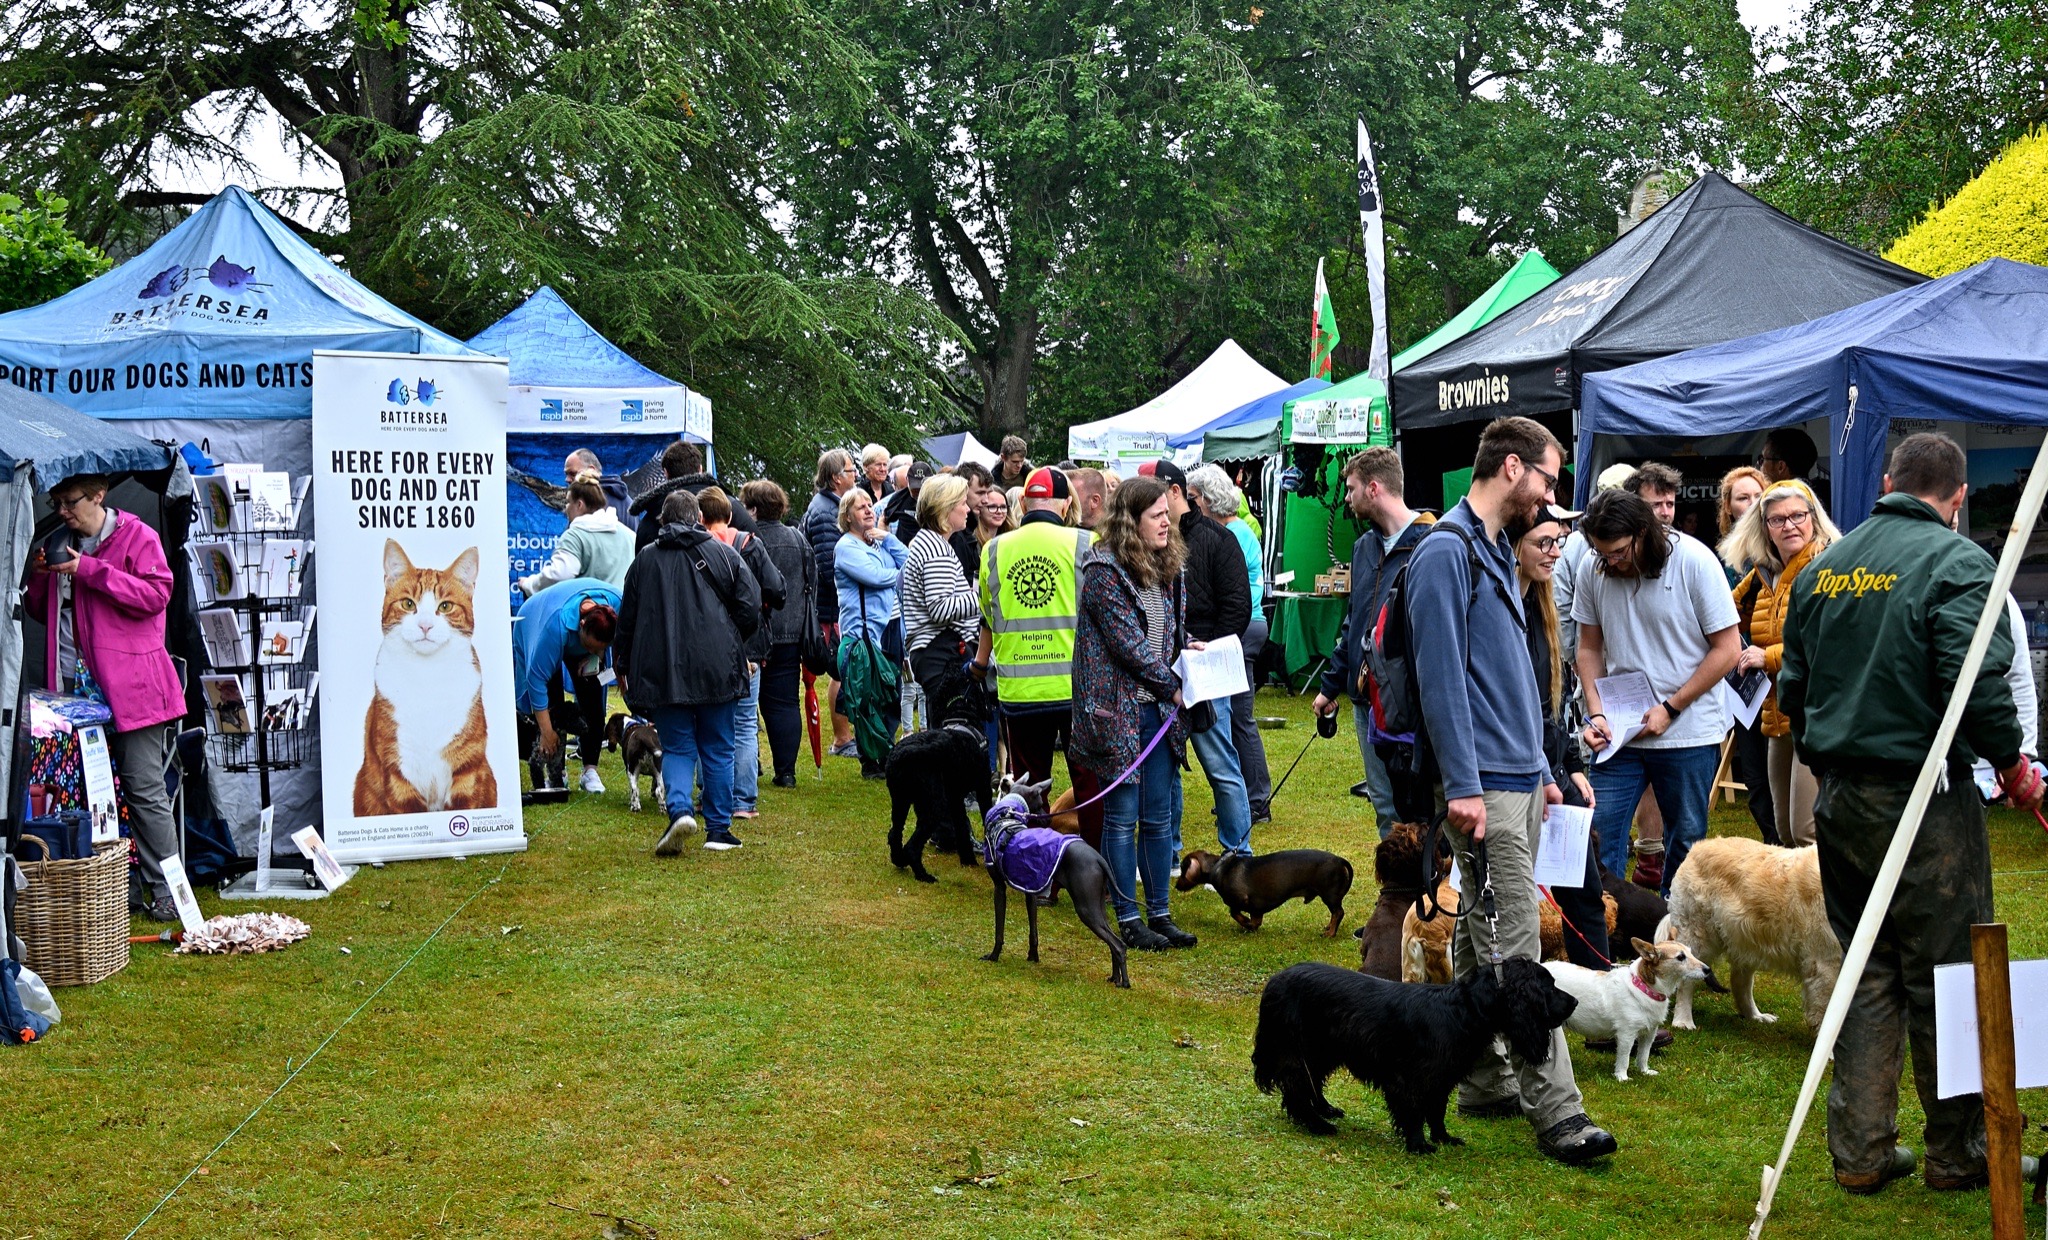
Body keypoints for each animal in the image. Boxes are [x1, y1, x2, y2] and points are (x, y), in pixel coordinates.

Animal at [978, 774, 1130, 987]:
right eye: (1040, 803)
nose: (1048, 818)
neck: (1006, 817)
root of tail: (1098, 858)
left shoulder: (999, 889)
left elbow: (999, 931)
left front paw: (993, 956)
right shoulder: (1030, 892)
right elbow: (1033, 932)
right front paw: (1033, 957)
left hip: (1086, 908)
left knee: (1119, 945)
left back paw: (1124, 982)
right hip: (1097, 905)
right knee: (1113, 941)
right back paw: (1114, 977)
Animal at [1179, 844, 1351, 934]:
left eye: (1182, 869)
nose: (1176, 885)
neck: (1219, 867)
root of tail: (1340, 860)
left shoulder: (1241, 900)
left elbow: (1234, 913)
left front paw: (1247, 924)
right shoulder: (1257, 907)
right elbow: (1255, 918)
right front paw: (1252, 926)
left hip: (1329, 895)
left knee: (1338, 913)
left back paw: (1330, 933)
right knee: (1335, 914)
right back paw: (1329, 927)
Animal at [1253, 959, 1572, 1147]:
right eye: (1549, 987)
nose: (1575, 1002)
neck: (1465, 1008)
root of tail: (1275, 980)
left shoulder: (1441, 1078)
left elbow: (1437, 1111)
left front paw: (1443, 1138)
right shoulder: (1409, 1079)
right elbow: (1415, 1112)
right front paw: (1419, 1145)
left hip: (1322, 1051)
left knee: (1313, 1082)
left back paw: (1324, 1109)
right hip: (1297, 1050)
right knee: (1296, 1090)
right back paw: (1317, 1124)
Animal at [1654, 836, 1851, 1028]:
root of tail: (1696, 849)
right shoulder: (1827, 964)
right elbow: (1827, 1012)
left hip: (1745, 939)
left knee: (1740, 981)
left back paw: (1756, 1016)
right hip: (1697, 936)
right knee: (1687, 982)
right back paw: (1683, 1021)